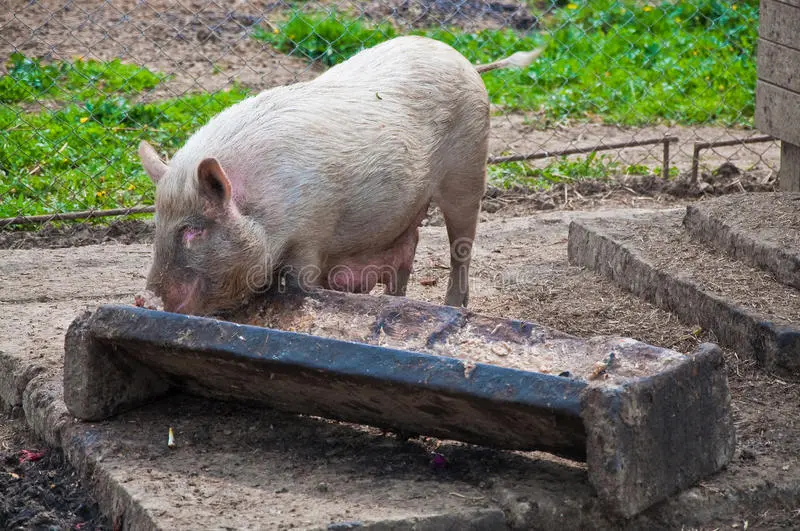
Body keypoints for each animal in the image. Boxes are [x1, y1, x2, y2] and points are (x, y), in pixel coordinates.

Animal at [139, 36, 544, 316]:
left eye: (193, 230)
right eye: (157, 226)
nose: (145, 299)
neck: (263, 205)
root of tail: (467, 63)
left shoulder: (311, 233)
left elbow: (300, 281)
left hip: (469, 170)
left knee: (461, 246)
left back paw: (452, 306)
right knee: (409, 246)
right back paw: (394, 303)